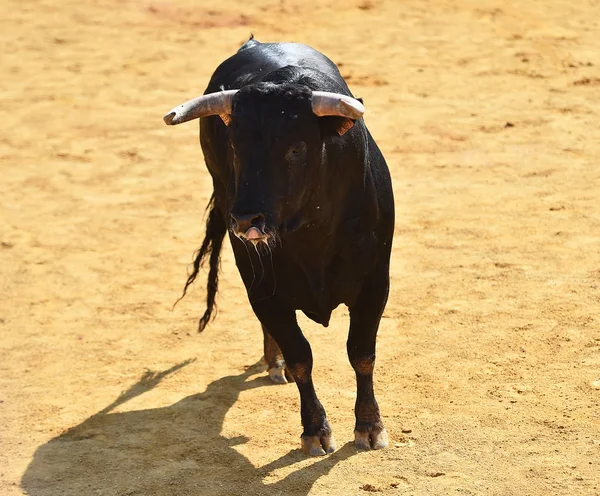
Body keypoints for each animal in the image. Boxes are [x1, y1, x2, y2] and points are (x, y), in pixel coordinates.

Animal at [163, 38, 394, 458]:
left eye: (297, 148)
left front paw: (370, 427)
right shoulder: (265, 292)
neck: (312, 234)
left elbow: (361, 353)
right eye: (235, 147)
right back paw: (275, 361)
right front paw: (315, 430)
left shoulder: (374, 285)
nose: (244, 220)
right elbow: (302, 356)